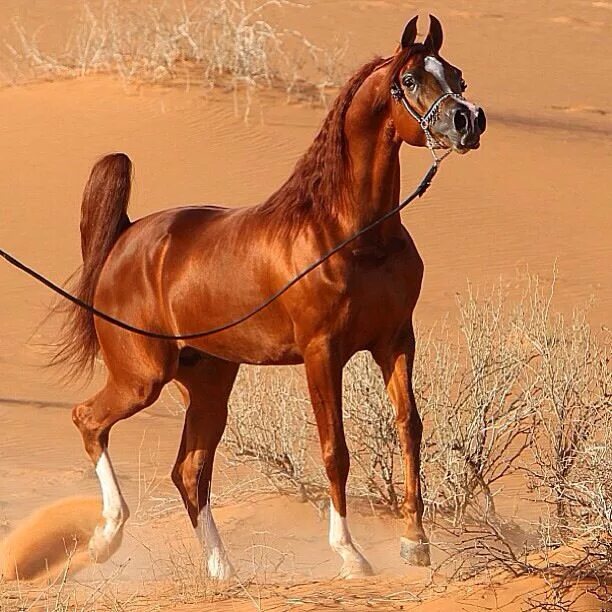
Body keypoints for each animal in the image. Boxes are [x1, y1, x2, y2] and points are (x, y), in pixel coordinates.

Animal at [58, 15, 488, 580]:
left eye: (456, 74)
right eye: (411, 79)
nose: (468, 120)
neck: (353, 234)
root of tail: (126, 238)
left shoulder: (395, 341)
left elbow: (409, 429)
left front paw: (415, 543)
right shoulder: (322, 353)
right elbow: (335, 450)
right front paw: (350, 554)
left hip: (209, 383)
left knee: (189, 472)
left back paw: (222, 572)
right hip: (141, 378)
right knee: (89, 420)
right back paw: (107, 537)